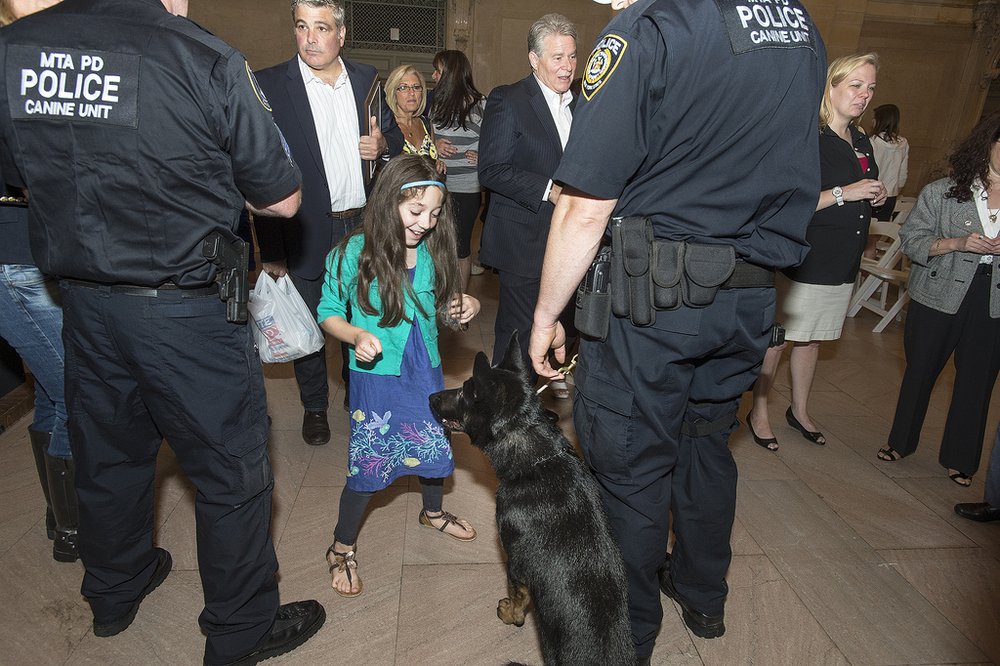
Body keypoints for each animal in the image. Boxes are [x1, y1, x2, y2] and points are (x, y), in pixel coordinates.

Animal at [428, 334, 632, 660]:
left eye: (464, 391)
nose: (431, 397)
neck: (537, 460)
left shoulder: (516, 564)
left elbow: (518, 596)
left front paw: (511, 615)